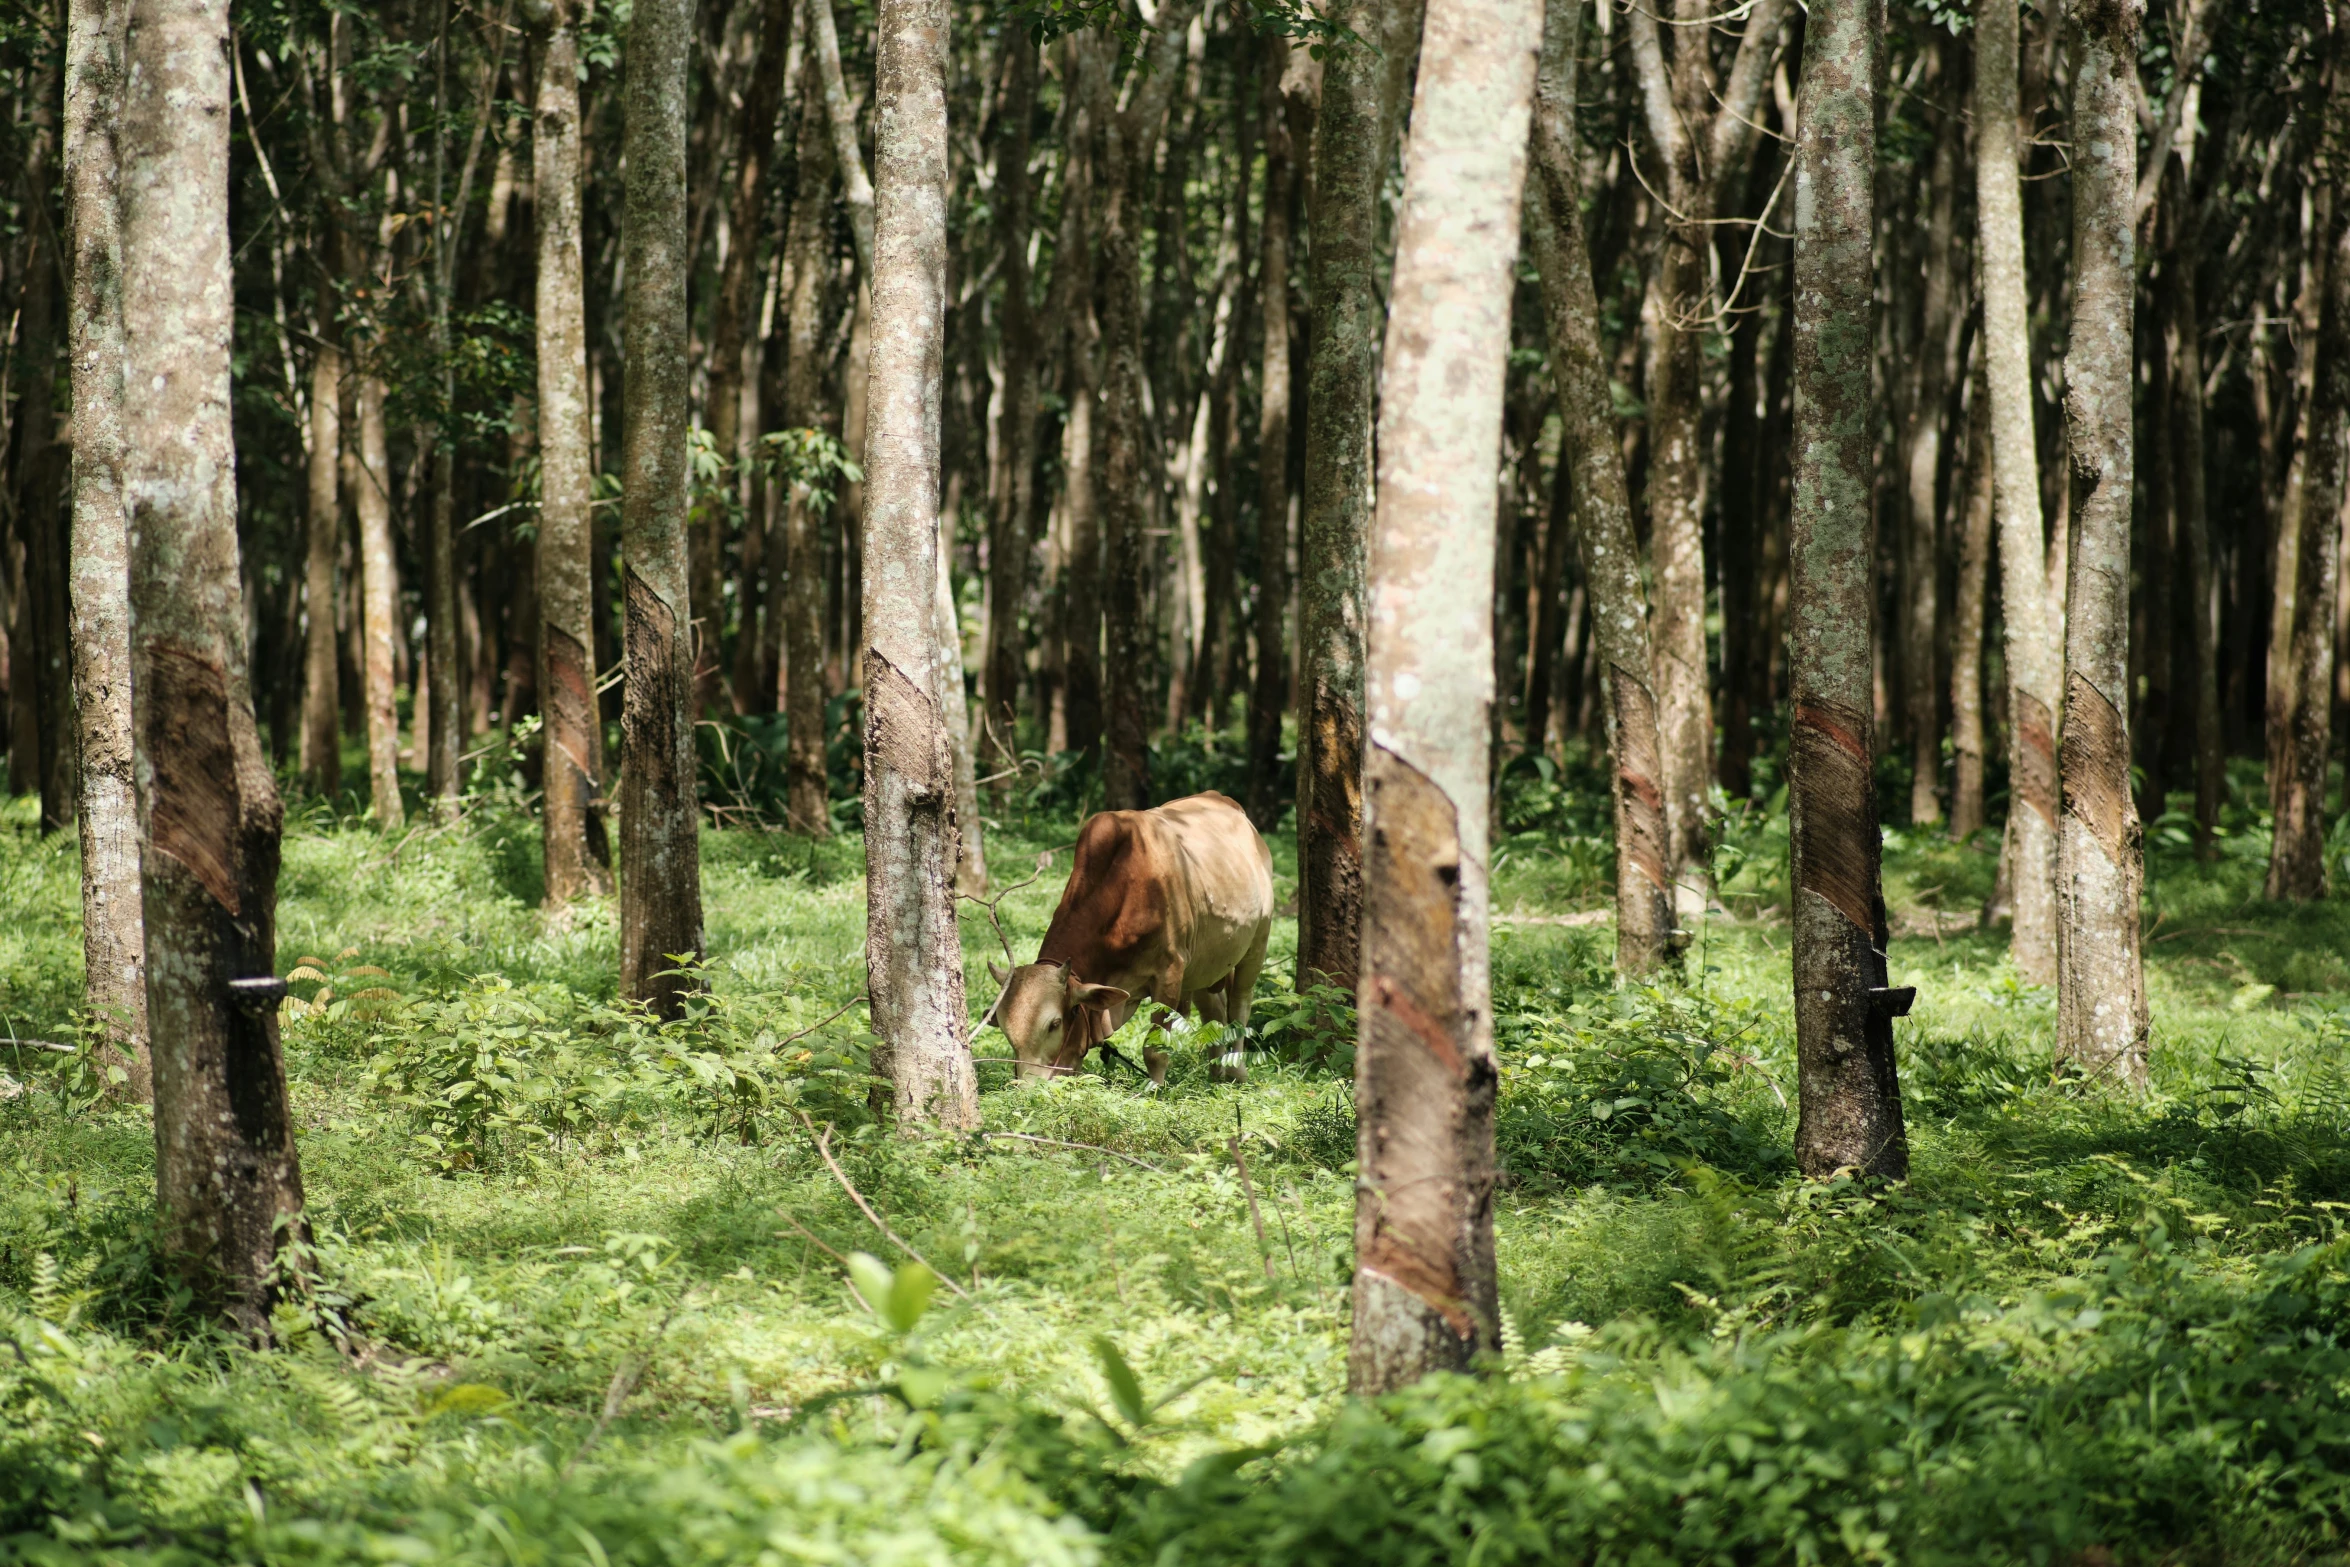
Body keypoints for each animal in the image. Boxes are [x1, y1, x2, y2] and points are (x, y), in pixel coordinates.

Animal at [991, 789, 1287, 1085]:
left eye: (1054, 1024)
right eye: (1005, 1029)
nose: (1028, 1088)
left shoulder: (1169, 973)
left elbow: (1154, 1049)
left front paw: (1153, 1088)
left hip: (1258, 939)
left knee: (1239, 1006)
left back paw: (1237, 1070)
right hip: (1206, 962)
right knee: (1213, 1010)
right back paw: (1216, 1075)